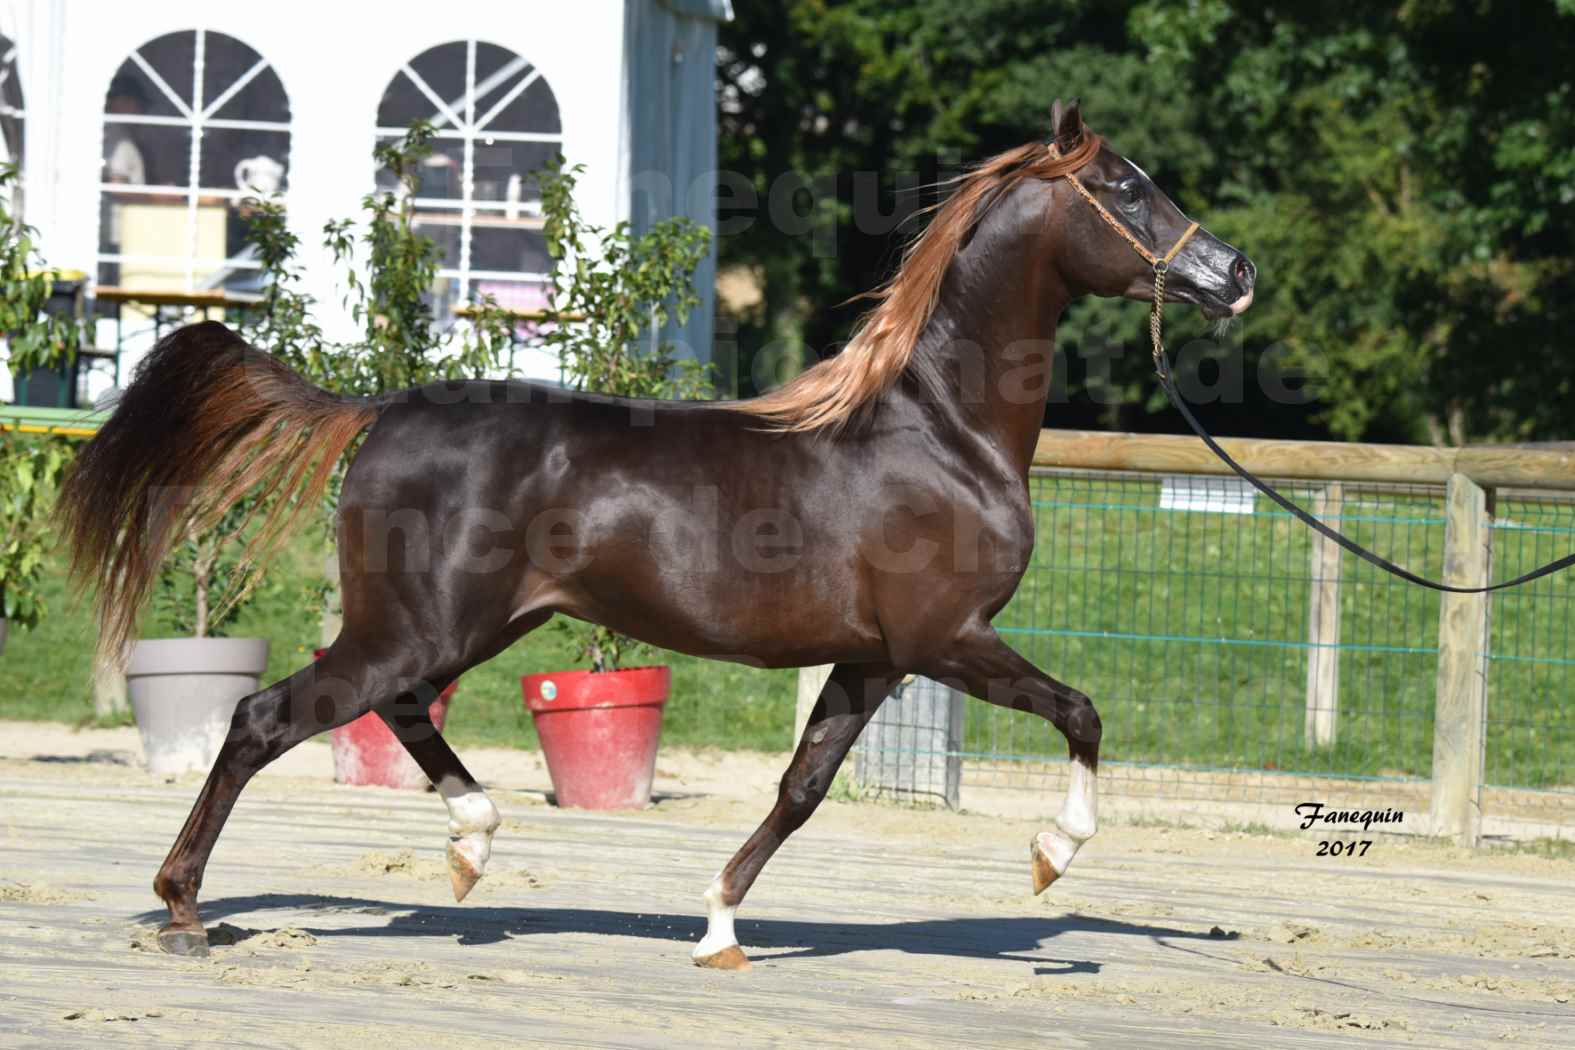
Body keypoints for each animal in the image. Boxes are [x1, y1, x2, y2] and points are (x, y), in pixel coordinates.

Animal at [58, 102, 1253, 976]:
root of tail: (386, 407)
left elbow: (802, 787)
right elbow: (1082, 712)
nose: (1232, 274)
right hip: (414, 627)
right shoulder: (947, 640)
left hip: (456, 629)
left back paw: (472, 843)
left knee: (395, 710)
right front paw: (1051, 859)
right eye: (1125, 188)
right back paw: (186, 909)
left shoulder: (874, 658)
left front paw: (718, 926)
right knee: (266, 719)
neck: (939, 431)